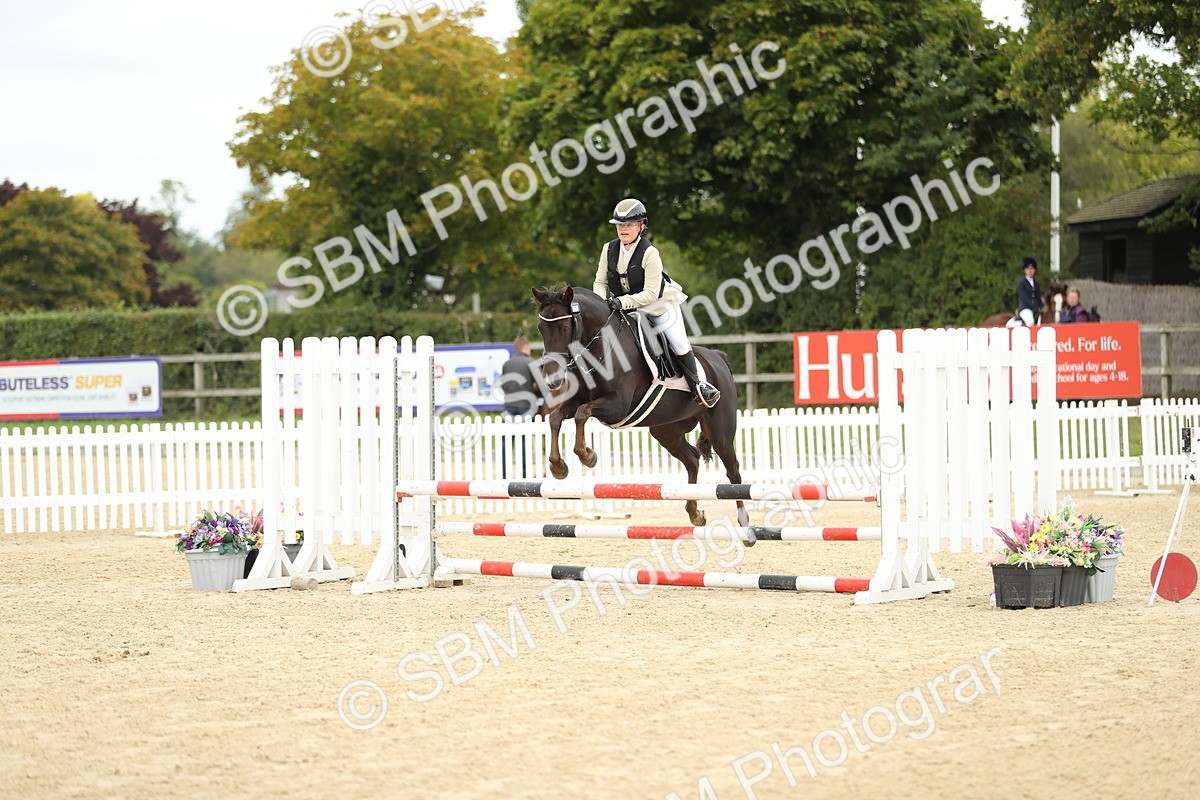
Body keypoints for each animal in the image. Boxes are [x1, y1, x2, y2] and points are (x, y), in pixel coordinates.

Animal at [531, 286, 751, 531]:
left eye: (564, 328)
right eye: (541, 329)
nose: (551, 380)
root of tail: (718, 358)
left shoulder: (618, 405)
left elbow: (582, 414)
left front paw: (587, 456)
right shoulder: (577, 400)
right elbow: (555, 418)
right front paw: (558, 467)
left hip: (719, 431)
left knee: (733, 470)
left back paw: (744, 522)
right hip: (666, 431)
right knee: (692, 460)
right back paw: (695, 514)